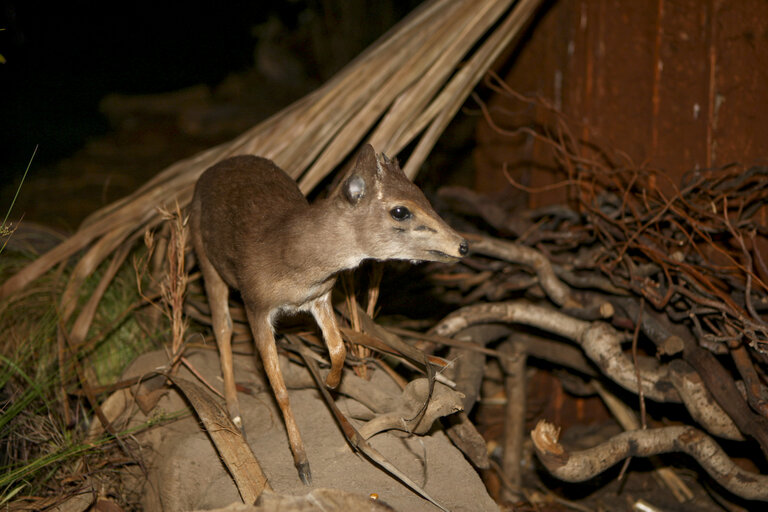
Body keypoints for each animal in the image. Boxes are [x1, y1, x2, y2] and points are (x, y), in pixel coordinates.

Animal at [190, 144, 468, 484]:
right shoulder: (256, 306)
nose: (463, 245)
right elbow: (280, 389)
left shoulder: (321, 297)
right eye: (400, 211)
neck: (293, 258)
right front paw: (302, 463)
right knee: (222, 328)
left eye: (422, 194)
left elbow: (337, 348)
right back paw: (235, 413)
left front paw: (331, 381)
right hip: (205, 259)